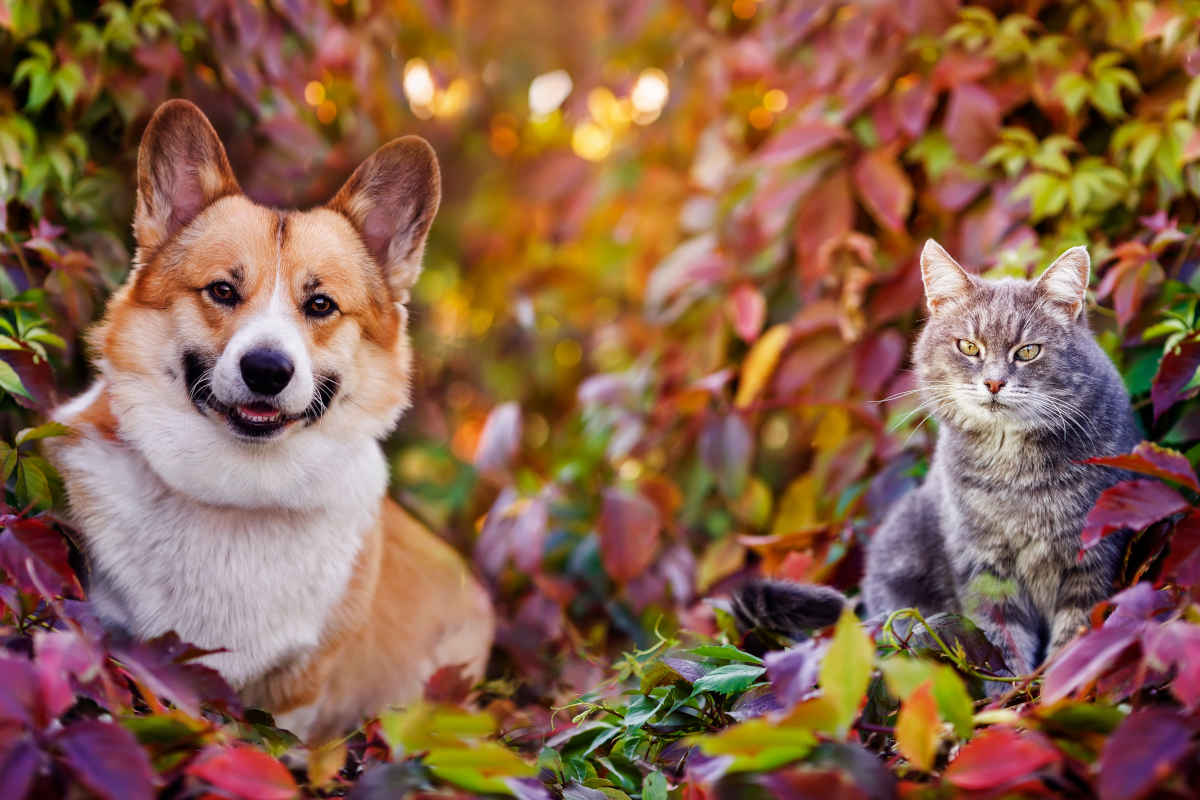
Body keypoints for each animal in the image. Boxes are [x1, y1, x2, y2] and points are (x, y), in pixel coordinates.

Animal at [734, 239, 1137, 676]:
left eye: (1028, 351)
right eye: (969, 347)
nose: (994, 382)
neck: (1015, 472)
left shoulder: (1091, 552)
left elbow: (1075, 633)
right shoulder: (982, 564)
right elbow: (1000, 639)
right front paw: (1009, 686)